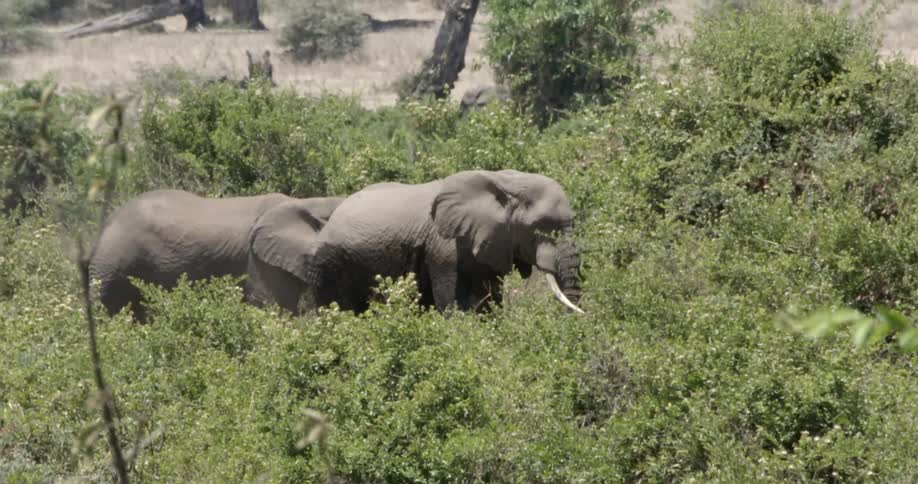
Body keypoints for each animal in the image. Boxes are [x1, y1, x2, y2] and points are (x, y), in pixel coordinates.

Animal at [258, 169, 584, 314]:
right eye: (540, 229)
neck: (506, 180)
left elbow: (489, 301)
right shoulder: (444, 246)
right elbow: (456, 304)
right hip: (330, 264)